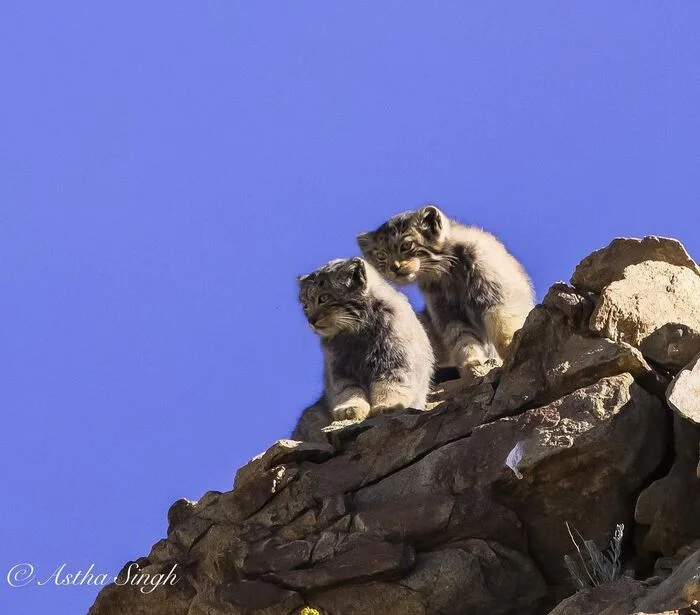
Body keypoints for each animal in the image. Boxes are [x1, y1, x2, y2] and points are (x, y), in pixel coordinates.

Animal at [290, 256, 432, 442]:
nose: (311, 321)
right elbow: (350, 393)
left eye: (323, 298)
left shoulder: (395, 365)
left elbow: (389, 388)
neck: (357, 333)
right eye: (305, 306)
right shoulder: (341, 374)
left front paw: (387, 405)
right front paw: (350, 409)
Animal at [358, 206, 532, 376]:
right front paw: (472, 364)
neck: (447, 273)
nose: (393, 268)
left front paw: (509, 347)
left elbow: (503, 327)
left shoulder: (497, 297)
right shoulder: (449, 317)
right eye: (381, 256)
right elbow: (463, 342)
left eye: (406, 245)